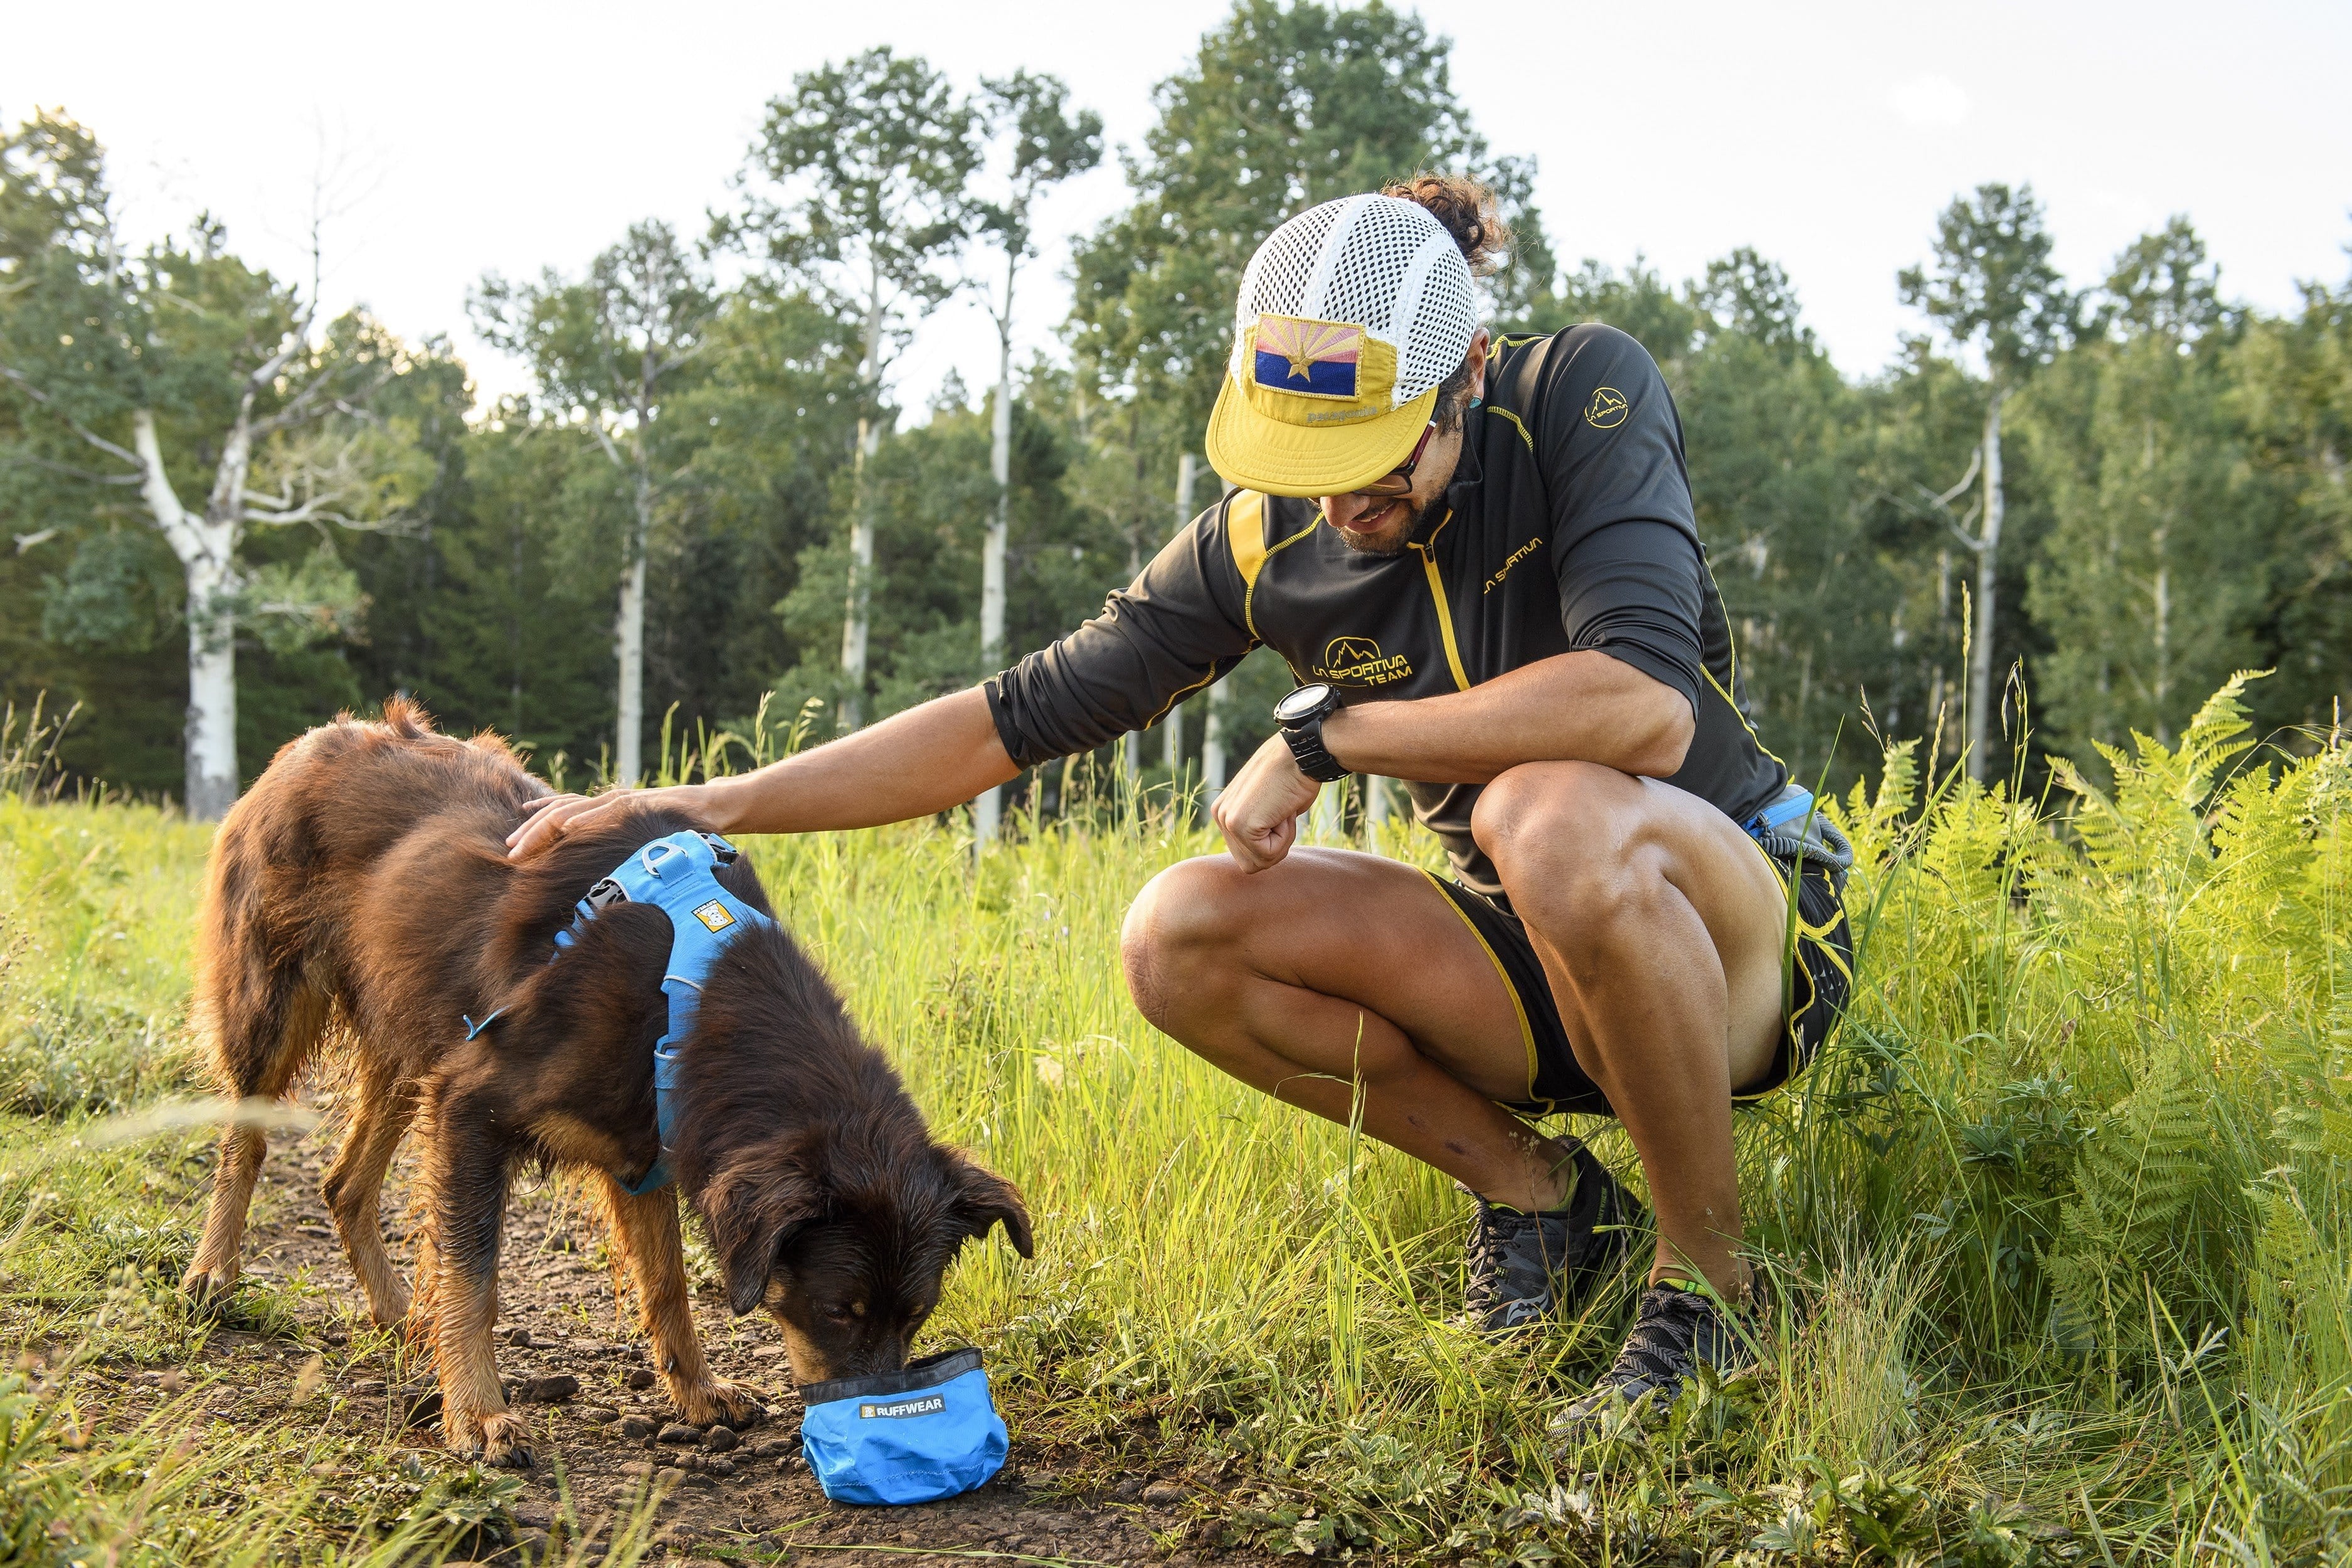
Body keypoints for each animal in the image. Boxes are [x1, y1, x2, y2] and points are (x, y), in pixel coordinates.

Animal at [183, 705, 1030, 1466]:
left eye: (917, 1314)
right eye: (837, 1309)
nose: (879, 1424)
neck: (694, 986)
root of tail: (317, 737)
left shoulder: (644, 1142)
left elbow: (668, 1285)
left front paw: (696, 1392)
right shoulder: (471, 1106)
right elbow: (474, 1274)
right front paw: (479, 1414)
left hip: (409, 1037)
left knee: (343, 1183)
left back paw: (402, 1318)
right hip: (276, 1007)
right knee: (242, 1143)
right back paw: (213, 1274)